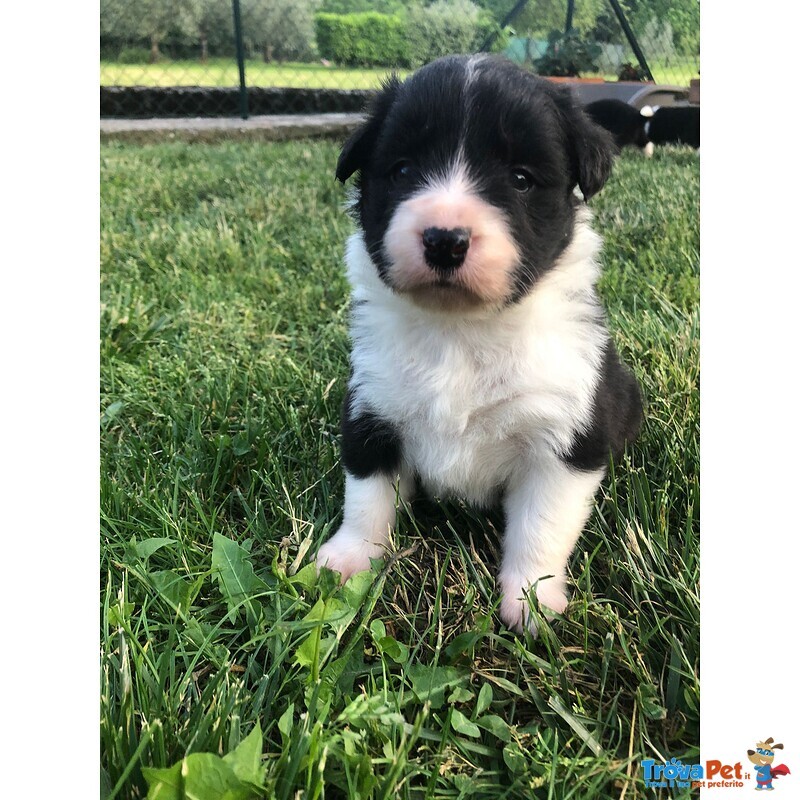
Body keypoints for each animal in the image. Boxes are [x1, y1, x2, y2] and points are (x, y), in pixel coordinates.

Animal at [316, 54, 640, 632]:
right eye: (403, 170)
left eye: (521, 179)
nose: (445, 240)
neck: (462, 331)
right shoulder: (372, 408)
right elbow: (366, 497)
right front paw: (351, 560)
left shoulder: (563, 441)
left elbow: (541, 526)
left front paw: (531, 600)